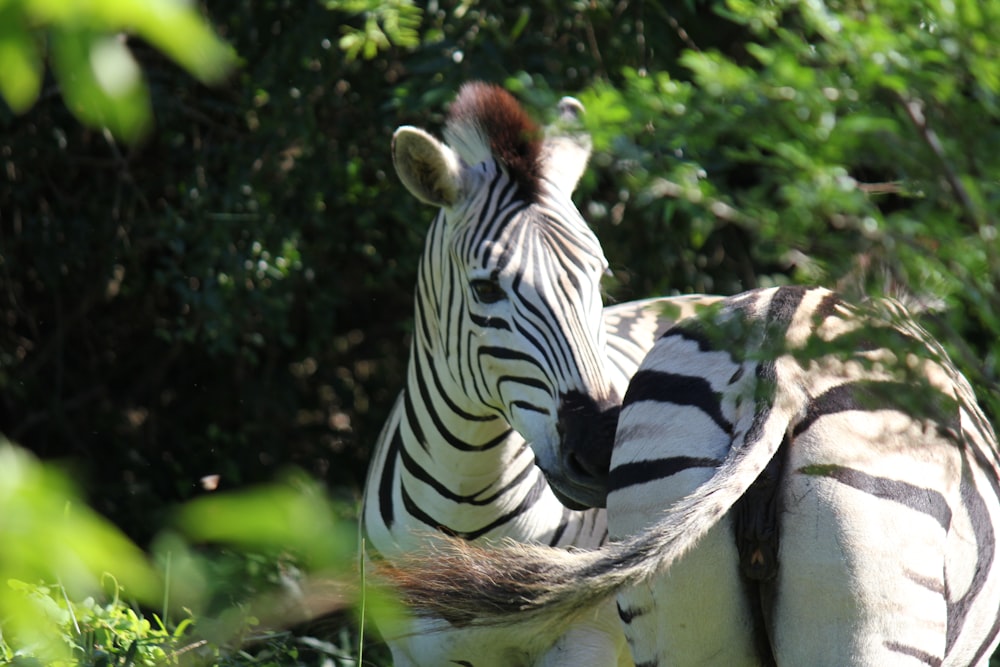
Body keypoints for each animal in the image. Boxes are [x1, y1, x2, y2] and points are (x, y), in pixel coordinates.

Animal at [364, 81, 724, 664]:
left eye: (598, 274)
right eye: (486, 288)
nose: (601, 452)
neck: (465, 502)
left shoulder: (582, 640)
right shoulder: (417, 650)